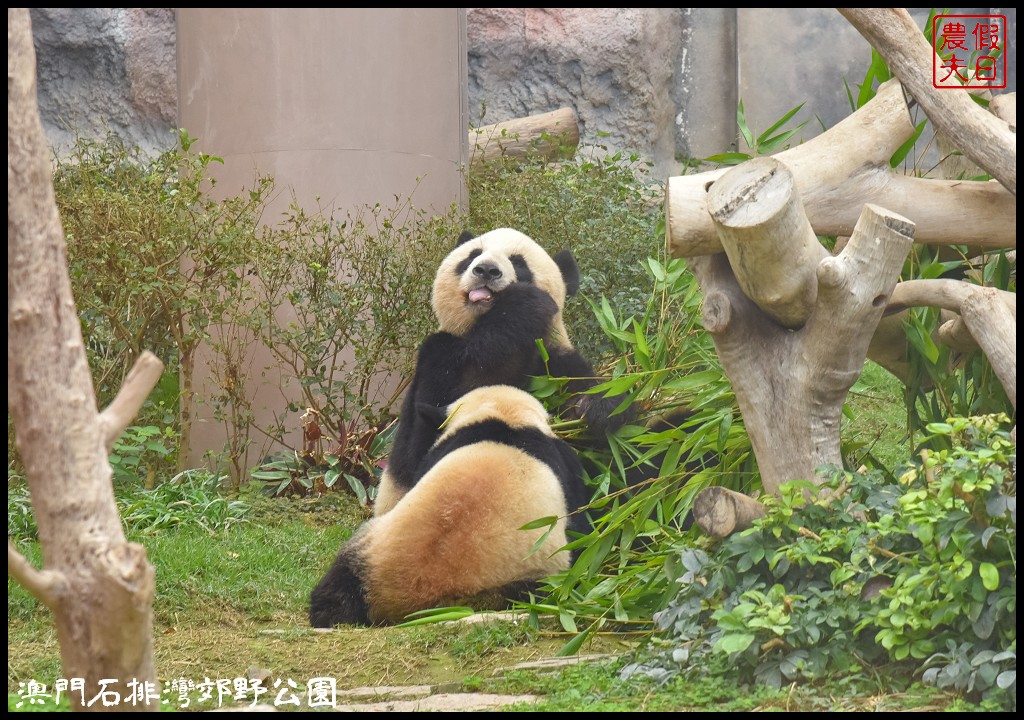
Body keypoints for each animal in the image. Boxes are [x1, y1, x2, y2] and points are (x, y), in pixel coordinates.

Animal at [307, 385, 589, 626]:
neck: (505, 419)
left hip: (365, 553)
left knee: (336, 593)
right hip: (529, 578)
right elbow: (582, 525)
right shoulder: (566, 464)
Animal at [372, 228, 626, 516]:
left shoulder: (558, 365)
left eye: (519, 262)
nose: (486, 270)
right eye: (473, 255)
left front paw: (597, 407)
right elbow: (425, 444)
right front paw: (523, 305)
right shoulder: (436, 361)